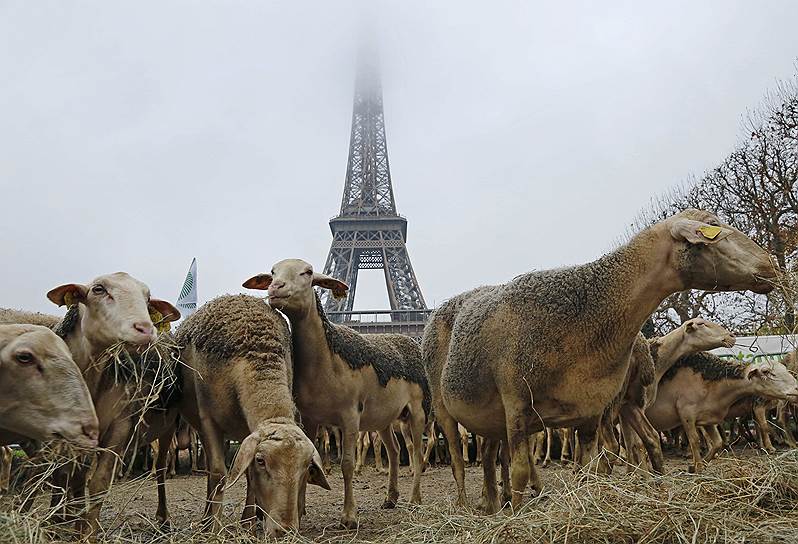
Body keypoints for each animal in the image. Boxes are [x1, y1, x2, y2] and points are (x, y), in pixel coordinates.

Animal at [177, 294, 332, 536]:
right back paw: (206, 519)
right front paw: (215, 527)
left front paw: (248, 524)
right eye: (261, 461)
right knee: (212, 472)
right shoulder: (208, 420)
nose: (285, 530)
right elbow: (219, 473)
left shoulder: (248, 429)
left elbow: (248, 475)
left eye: (307, 467)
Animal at [244, 258, 432, 528]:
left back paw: (415, 498)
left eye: (308, 272)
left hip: (417, 412)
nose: (276, 288)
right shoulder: (310, 418)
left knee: (415, 453)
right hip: (384, 418)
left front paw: (349, 516)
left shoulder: (350, 415)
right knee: (395, 450)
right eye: (272, 272)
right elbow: (309, 457)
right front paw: (300, 511)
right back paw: (391, 498)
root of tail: (406, 340)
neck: (327, 359)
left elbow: (347, 464)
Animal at [428, 208, 780, 510]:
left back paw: (490, 503)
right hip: (445, 406)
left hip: (490, 416)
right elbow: (519, 471)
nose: (771, 265)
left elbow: (592, 465)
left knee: (489, 458)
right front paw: (515, 517)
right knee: (459, 460)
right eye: (712, 225)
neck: (585, 317)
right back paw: (466, 504)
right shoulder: (517, 404)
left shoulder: (591, 410)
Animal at [648, 352, 798, 472]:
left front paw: (697, 465)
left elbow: (717, 442)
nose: (796, 389)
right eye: (766, 372)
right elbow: (695, 440)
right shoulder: (686, 414)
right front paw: (698, 466)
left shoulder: (707, 416)